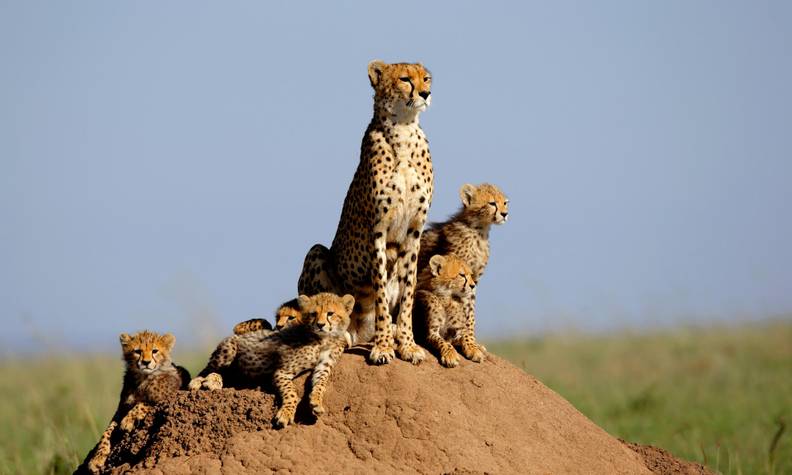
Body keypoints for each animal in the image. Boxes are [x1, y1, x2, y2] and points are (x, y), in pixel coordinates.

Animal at [83, 332, 189, 474]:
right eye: (138, 351)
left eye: (155, 351)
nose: (146, 362)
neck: (143, 377)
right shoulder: (121, 409)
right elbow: (107, 432)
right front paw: (97, 458)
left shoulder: (166, 397)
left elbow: (143, 403)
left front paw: (127, 421)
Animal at [190, 292, 354, 430]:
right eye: (313, 314)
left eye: (330, 313)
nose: (320, 325)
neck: (324, 339)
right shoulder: (281, 372)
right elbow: (292, 393)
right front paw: (286, 414)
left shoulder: (324, 365)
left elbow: (321, 383)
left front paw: (316, 402)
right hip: (229, 349)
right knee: (209, 368)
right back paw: (201, 381)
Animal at [296, 59, 434, 364]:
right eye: (405, 79)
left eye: (427, 78)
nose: (426, 93)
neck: (404, 129)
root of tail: (359, 334)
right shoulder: (378, 230)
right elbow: (380, 292)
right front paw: (383, 346)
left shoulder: (414, 231)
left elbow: (407, 293)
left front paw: (407, 344)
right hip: (316, 252)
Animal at [418, 184, 510, 362]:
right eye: (492, 203)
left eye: (505, 203)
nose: (505, 214)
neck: (479, 229)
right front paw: (470, 344)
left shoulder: (474, 279)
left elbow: (469, 311)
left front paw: (472, 344)